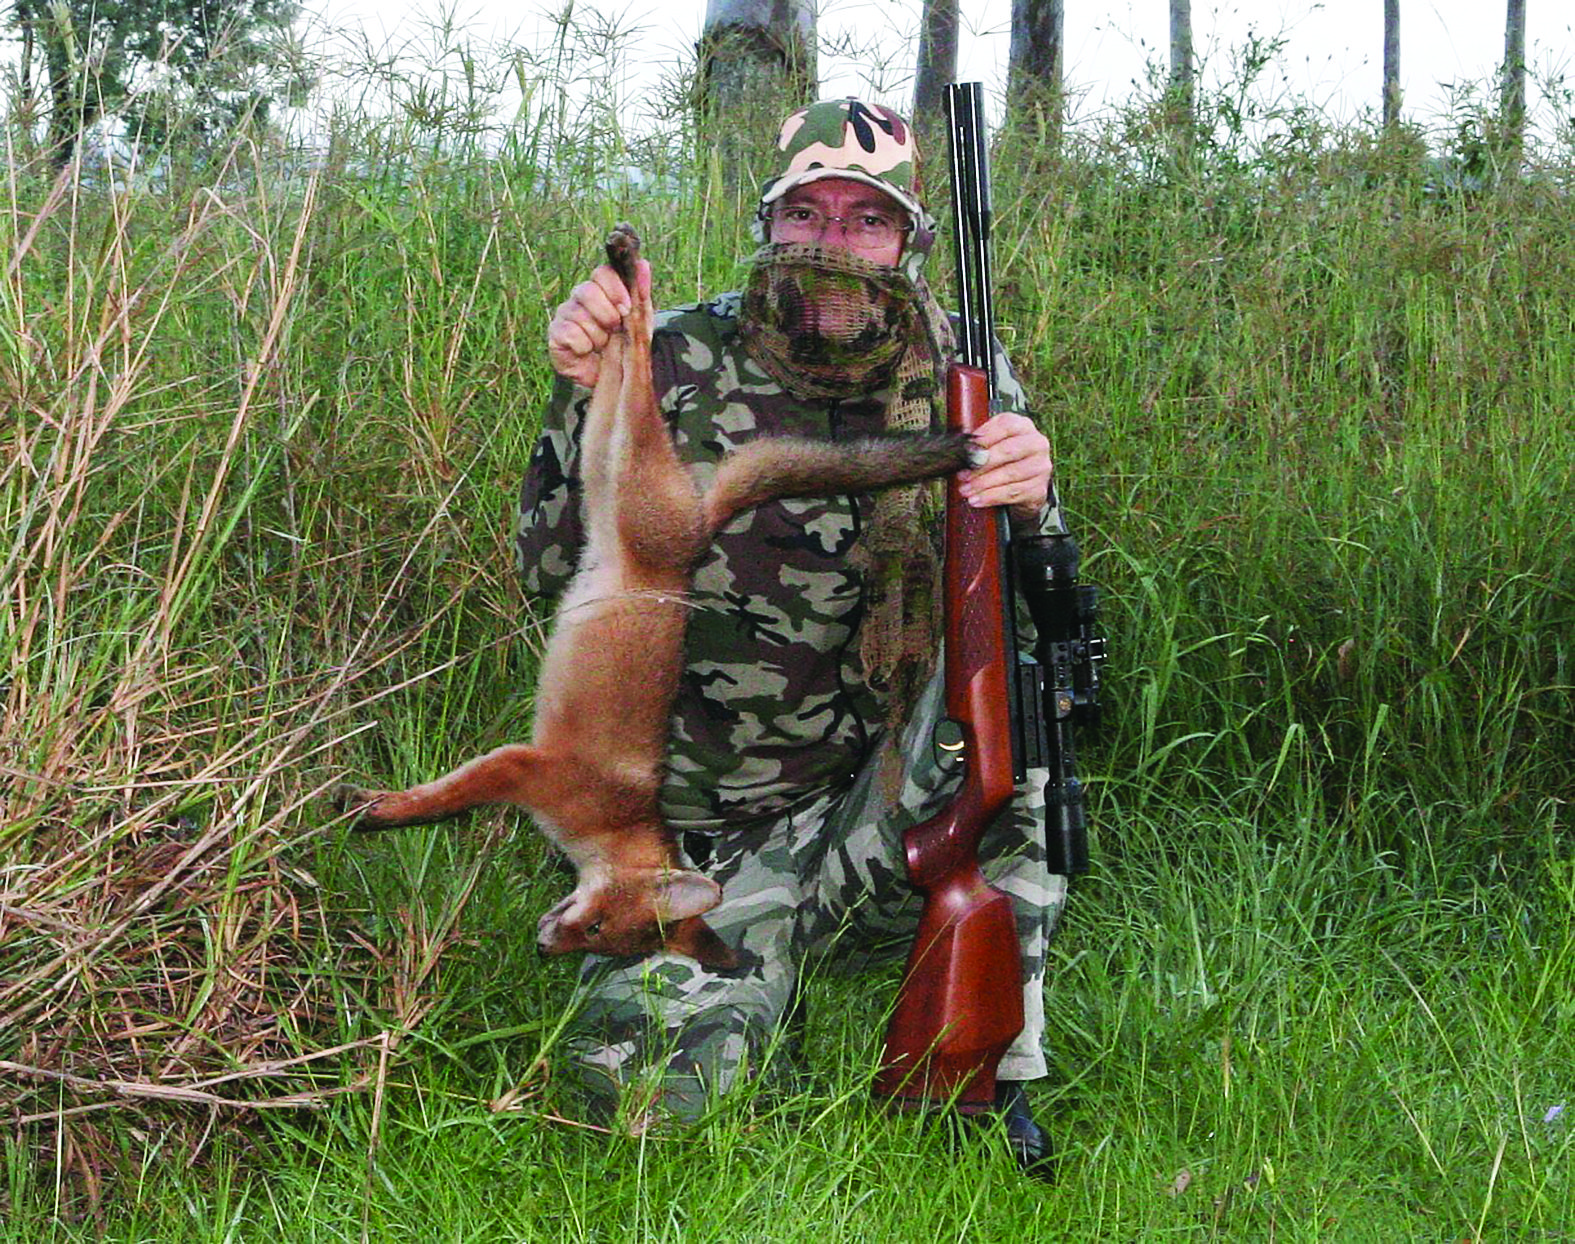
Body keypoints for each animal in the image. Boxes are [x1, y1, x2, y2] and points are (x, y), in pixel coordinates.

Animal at [338, 228, 963, 976]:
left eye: (602, 937)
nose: (546, 944)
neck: (613, 818)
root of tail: (695, 532)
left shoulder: (523, 767)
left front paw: (380, 804)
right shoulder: (523, 766)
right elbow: (440, 798)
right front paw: (386, 808)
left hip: (607, 468)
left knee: (619, 367)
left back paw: (622, 275)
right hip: (628, 465)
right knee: (635, 346)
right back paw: (626, 273)